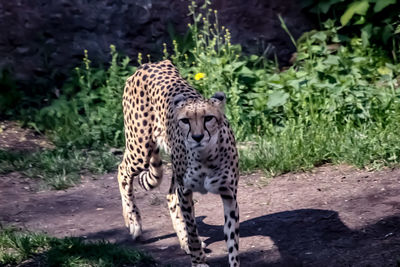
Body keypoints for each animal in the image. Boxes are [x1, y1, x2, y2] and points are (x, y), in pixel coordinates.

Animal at [117, 59, 239, 266]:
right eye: (185, 121)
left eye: (208, 118)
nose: (197, 137)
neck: (206, 155)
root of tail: (151, 63)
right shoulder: (185, 190)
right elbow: (192, 229)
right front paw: (198, 261)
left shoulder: (229, 194)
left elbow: (232, 243)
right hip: (140, 148)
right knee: (122, 170)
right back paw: (133, 221)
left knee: (169, 196)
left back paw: (182, 242)